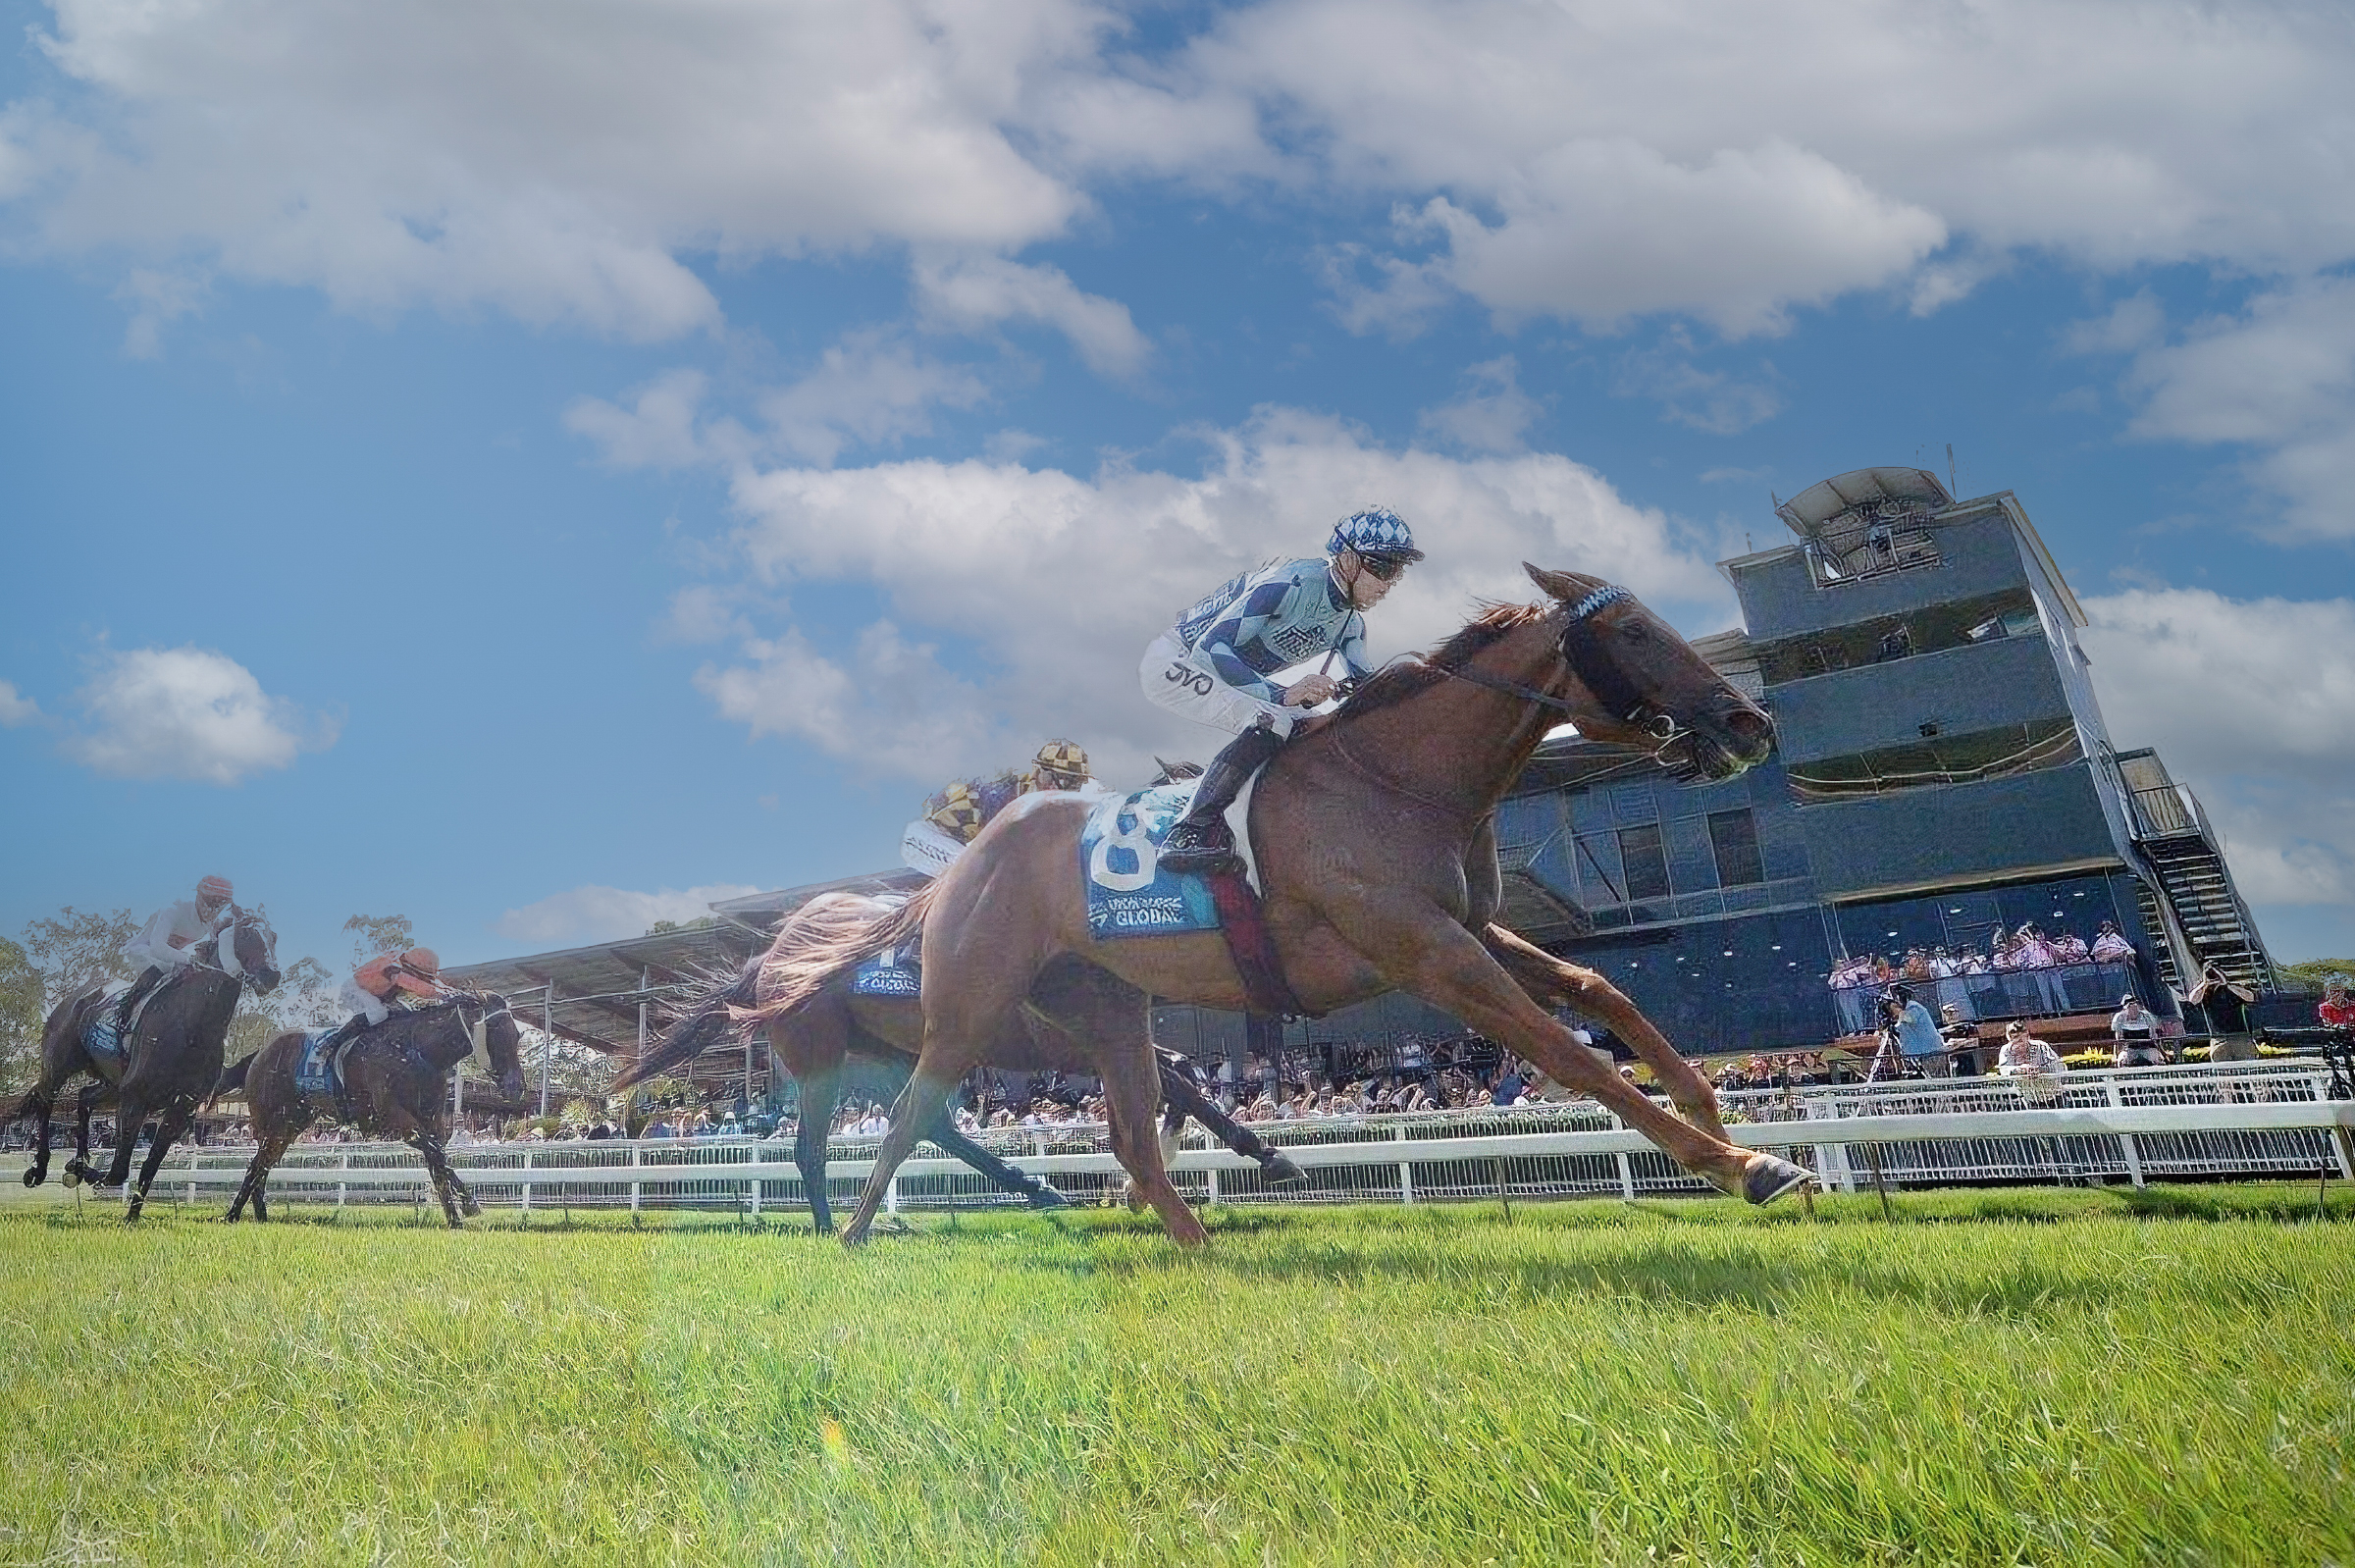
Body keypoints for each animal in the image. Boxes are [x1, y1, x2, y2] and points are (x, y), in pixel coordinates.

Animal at [14, 904, 283, 1224]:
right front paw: (89, 1175)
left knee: (84, 1097)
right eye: (247, 934)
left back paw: (78, 1161)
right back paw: (39, 1169)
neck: (192, 1026)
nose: (272, 975)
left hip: (112, 1083)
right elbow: (118, 1171)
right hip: (59, 1066)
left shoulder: (180, 1107)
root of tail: (80, 995)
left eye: (274, 937)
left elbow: (149, 1166)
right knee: (46, 1102)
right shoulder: (136, 1097)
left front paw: (130, 1215)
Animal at [219, 993, 527, 1224]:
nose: (518, 1087)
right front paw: (468, 1205)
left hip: (290, 1124)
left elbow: (438, 1161)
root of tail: (260, 1054)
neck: (417, 1051)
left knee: (263, 1164)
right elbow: (437, 1155)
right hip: (269, 1121)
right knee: (257, 1164)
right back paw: (233, 1215)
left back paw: (259, 1216)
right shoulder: (395, 1118)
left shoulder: (432, 1119)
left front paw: (456, 1216)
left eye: (517, 1035)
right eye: (496, 1031)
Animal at [616, 899, 1309, 1224]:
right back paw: (828, 1225)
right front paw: (1271, 1157)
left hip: (896, 1053)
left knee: (928, 1123)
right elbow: (1179, 1084)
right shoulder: (1080, 1042)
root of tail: (768, 958)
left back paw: (1034, 1185)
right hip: (822, 1058)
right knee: (810, 1147)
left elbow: (1182, 1077)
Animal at [749, 564, 1799, 1242]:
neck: (1395, 779)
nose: (1750, 720)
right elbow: (1562, 1051)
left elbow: (1595, 989)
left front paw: (1716, 1112)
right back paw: (851, 1235)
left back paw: (1199, 1248)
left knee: (1129, 1129)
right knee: (906, 1115)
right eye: (1633, 633)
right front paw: (1741, 1167)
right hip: (964, 1008)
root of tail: (958, 871)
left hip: (1103, 1004)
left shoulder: (1465, 927)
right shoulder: (1423, 949)